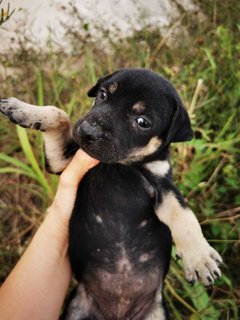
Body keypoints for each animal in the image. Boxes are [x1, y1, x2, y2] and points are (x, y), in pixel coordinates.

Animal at [0, 69, 222, 318]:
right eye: (103, 94)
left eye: (142, 122)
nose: (87, 132)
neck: (121, 165)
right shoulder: (63, 162)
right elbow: (60, 114)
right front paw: (22, 109)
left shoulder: (163, 186)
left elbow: (184, 215)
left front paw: (199, 257)